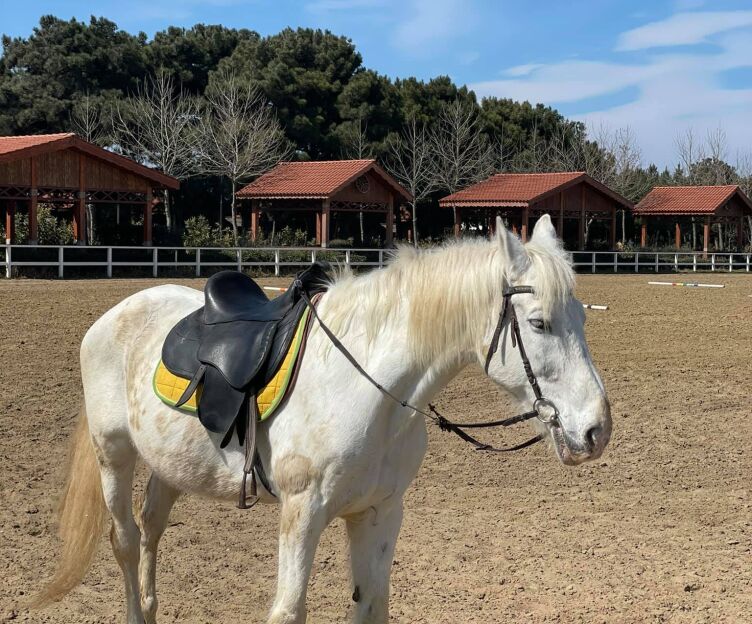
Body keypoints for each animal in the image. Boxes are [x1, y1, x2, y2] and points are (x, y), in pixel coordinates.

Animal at [33, 215, 611, 623]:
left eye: (582, 319)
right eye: (538, 323)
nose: (596, 429)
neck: (369, 391)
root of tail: (117, 312)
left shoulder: (380, 512)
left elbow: (372, 606)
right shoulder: (302, 510)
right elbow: (289, 610)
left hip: (170, 465)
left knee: (152, 529)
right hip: (114, 455)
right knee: (127, 541)